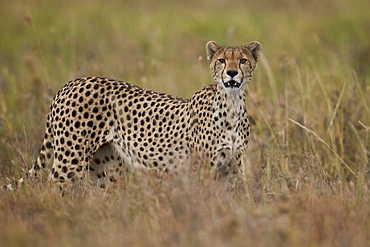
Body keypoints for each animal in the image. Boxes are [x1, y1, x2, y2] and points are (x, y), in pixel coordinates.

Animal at [29, 40, 260, 187]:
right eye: (222, 60)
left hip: (104, 166)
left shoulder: (233, 165)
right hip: (71, 157)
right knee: (54, 186)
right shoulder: (202, 168)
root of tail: (72, 82)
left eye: (243, 60)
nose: (231, 73)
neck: (232, 104)